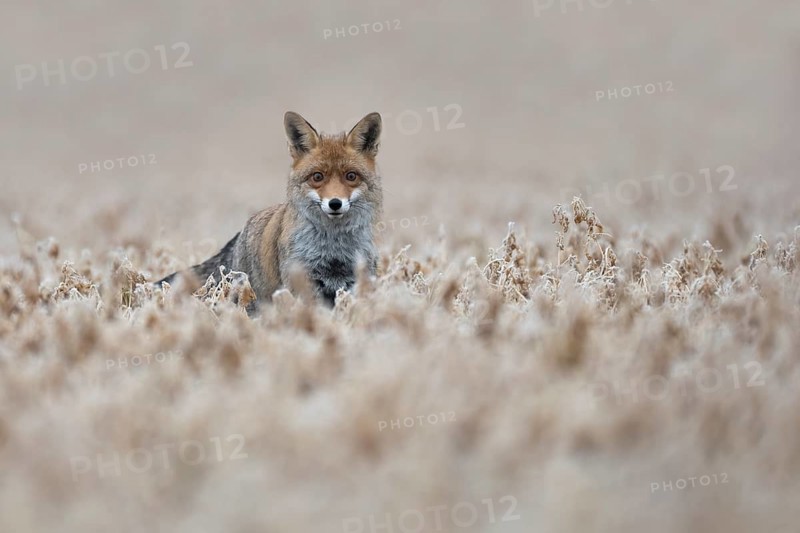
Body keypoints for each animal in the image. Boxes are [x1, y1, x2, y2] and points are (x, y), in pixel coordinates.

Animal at [157, 111, 383, 309]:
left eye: (351, 176)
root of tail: (240, 234)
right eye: (317, 177)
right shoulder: (303, 281)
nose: (335, 203)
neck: (334, 248)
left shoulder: (355, 280)